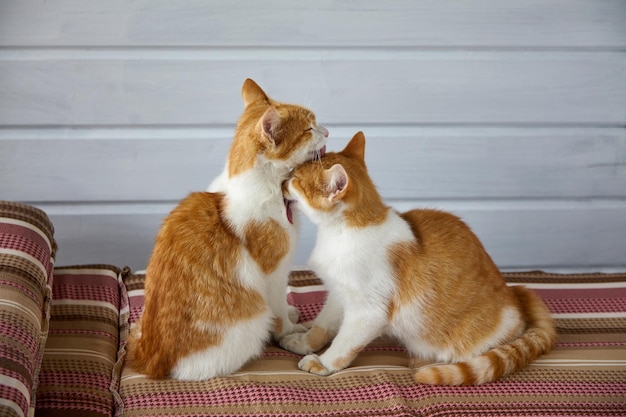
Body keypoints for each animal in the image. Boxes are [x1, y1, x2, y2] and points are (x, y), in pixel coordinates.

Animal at [129, 79, 330, 380]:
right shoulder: (275, 274)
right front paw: (290, 330)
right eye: (308, 128)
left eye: (316, 123)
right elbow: (279, 311)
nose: (327, 130)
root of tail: (149, 362)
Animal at [280, 132, 552, 386]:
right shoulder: (338, 294)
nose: (282, 181)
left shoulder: (368, 311)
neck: (342, 232)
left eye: (296, 179)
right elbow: (323, 324)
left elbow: (345, 342)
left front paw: (324, 362)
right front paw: (304, 341)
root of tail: (514, 297)